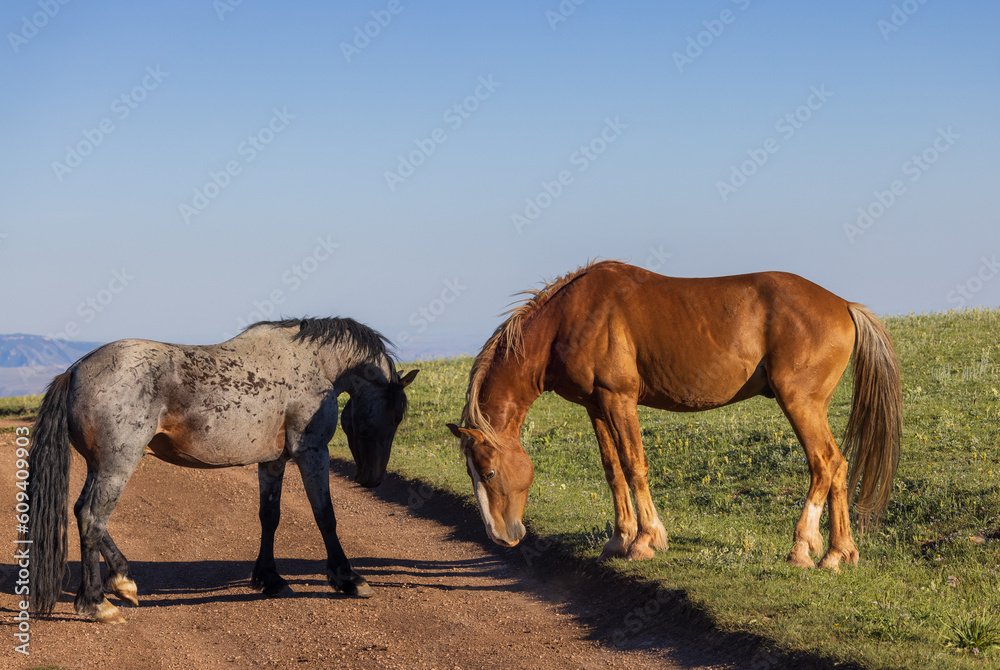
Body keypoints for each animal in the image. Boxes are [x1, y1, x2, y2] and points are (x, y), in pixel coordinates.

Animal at [25, 317, 417, 623]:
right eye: (395, 415)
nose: (372, 478)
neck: (313, 362)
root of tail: (75, 370)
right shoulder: (311, 453)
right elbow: (325, 516)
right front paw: (348, 578)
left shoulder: (272, 461)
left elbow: (270, 517)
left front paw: (271, 579)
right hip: (116, 466)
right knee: (92, 518)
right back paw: (95, 603)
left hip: (101, 467)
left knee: (83, 512)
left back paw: (122, 579)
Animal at [448, 260, 901, 571]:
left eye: (488, 472)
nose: (501, 537)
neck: (569, 318)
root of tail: (844, 305)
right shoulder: (596, 405)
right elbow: (612, 469)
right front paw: (619, 539)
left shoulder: (619, 399)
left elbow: (634, 466)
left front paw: (645, 540)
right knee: (840, 469)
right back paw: (839, 552)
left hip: (799, 403)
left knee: (825, 463)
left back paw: (803, 547)